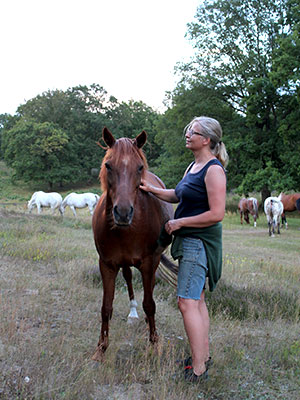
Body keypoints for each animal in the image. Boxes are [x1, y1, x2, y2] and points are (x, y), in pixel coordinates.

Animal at [92, 127, 175, 360]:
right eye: (108, 165)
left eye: (139, 167)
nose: (122, 212)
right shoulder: (107, 264)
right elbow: (106, 307)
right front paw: (101, 348)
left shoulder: (148, 262)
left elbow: (150, 304)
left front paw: (154, 342)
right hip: (124, 262)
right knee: (129, 277)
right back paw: (133, 313)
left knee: (150, 289)